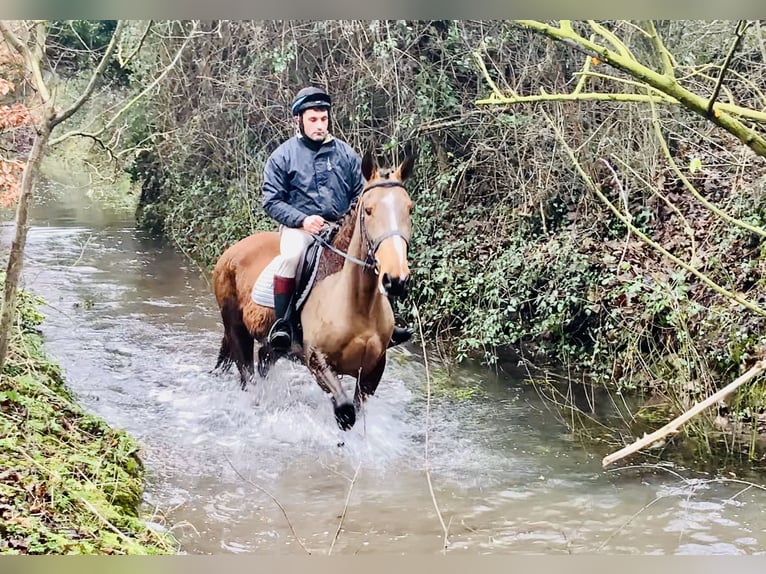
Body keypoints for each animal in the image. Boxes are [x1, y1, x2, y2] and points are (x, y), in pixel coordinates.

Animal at [212, 148, 414, 431]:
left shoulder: (373, 370)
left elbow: (357, 411)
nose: (395, 279)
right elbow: (345, 411)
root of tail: (231, 251)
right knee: (247, 377)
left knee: (264, 360)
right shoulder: (316, 360)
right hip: (236, 329)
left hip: (273, 348)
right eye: (369, 210)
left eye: (410, 209)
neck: (356, 302)